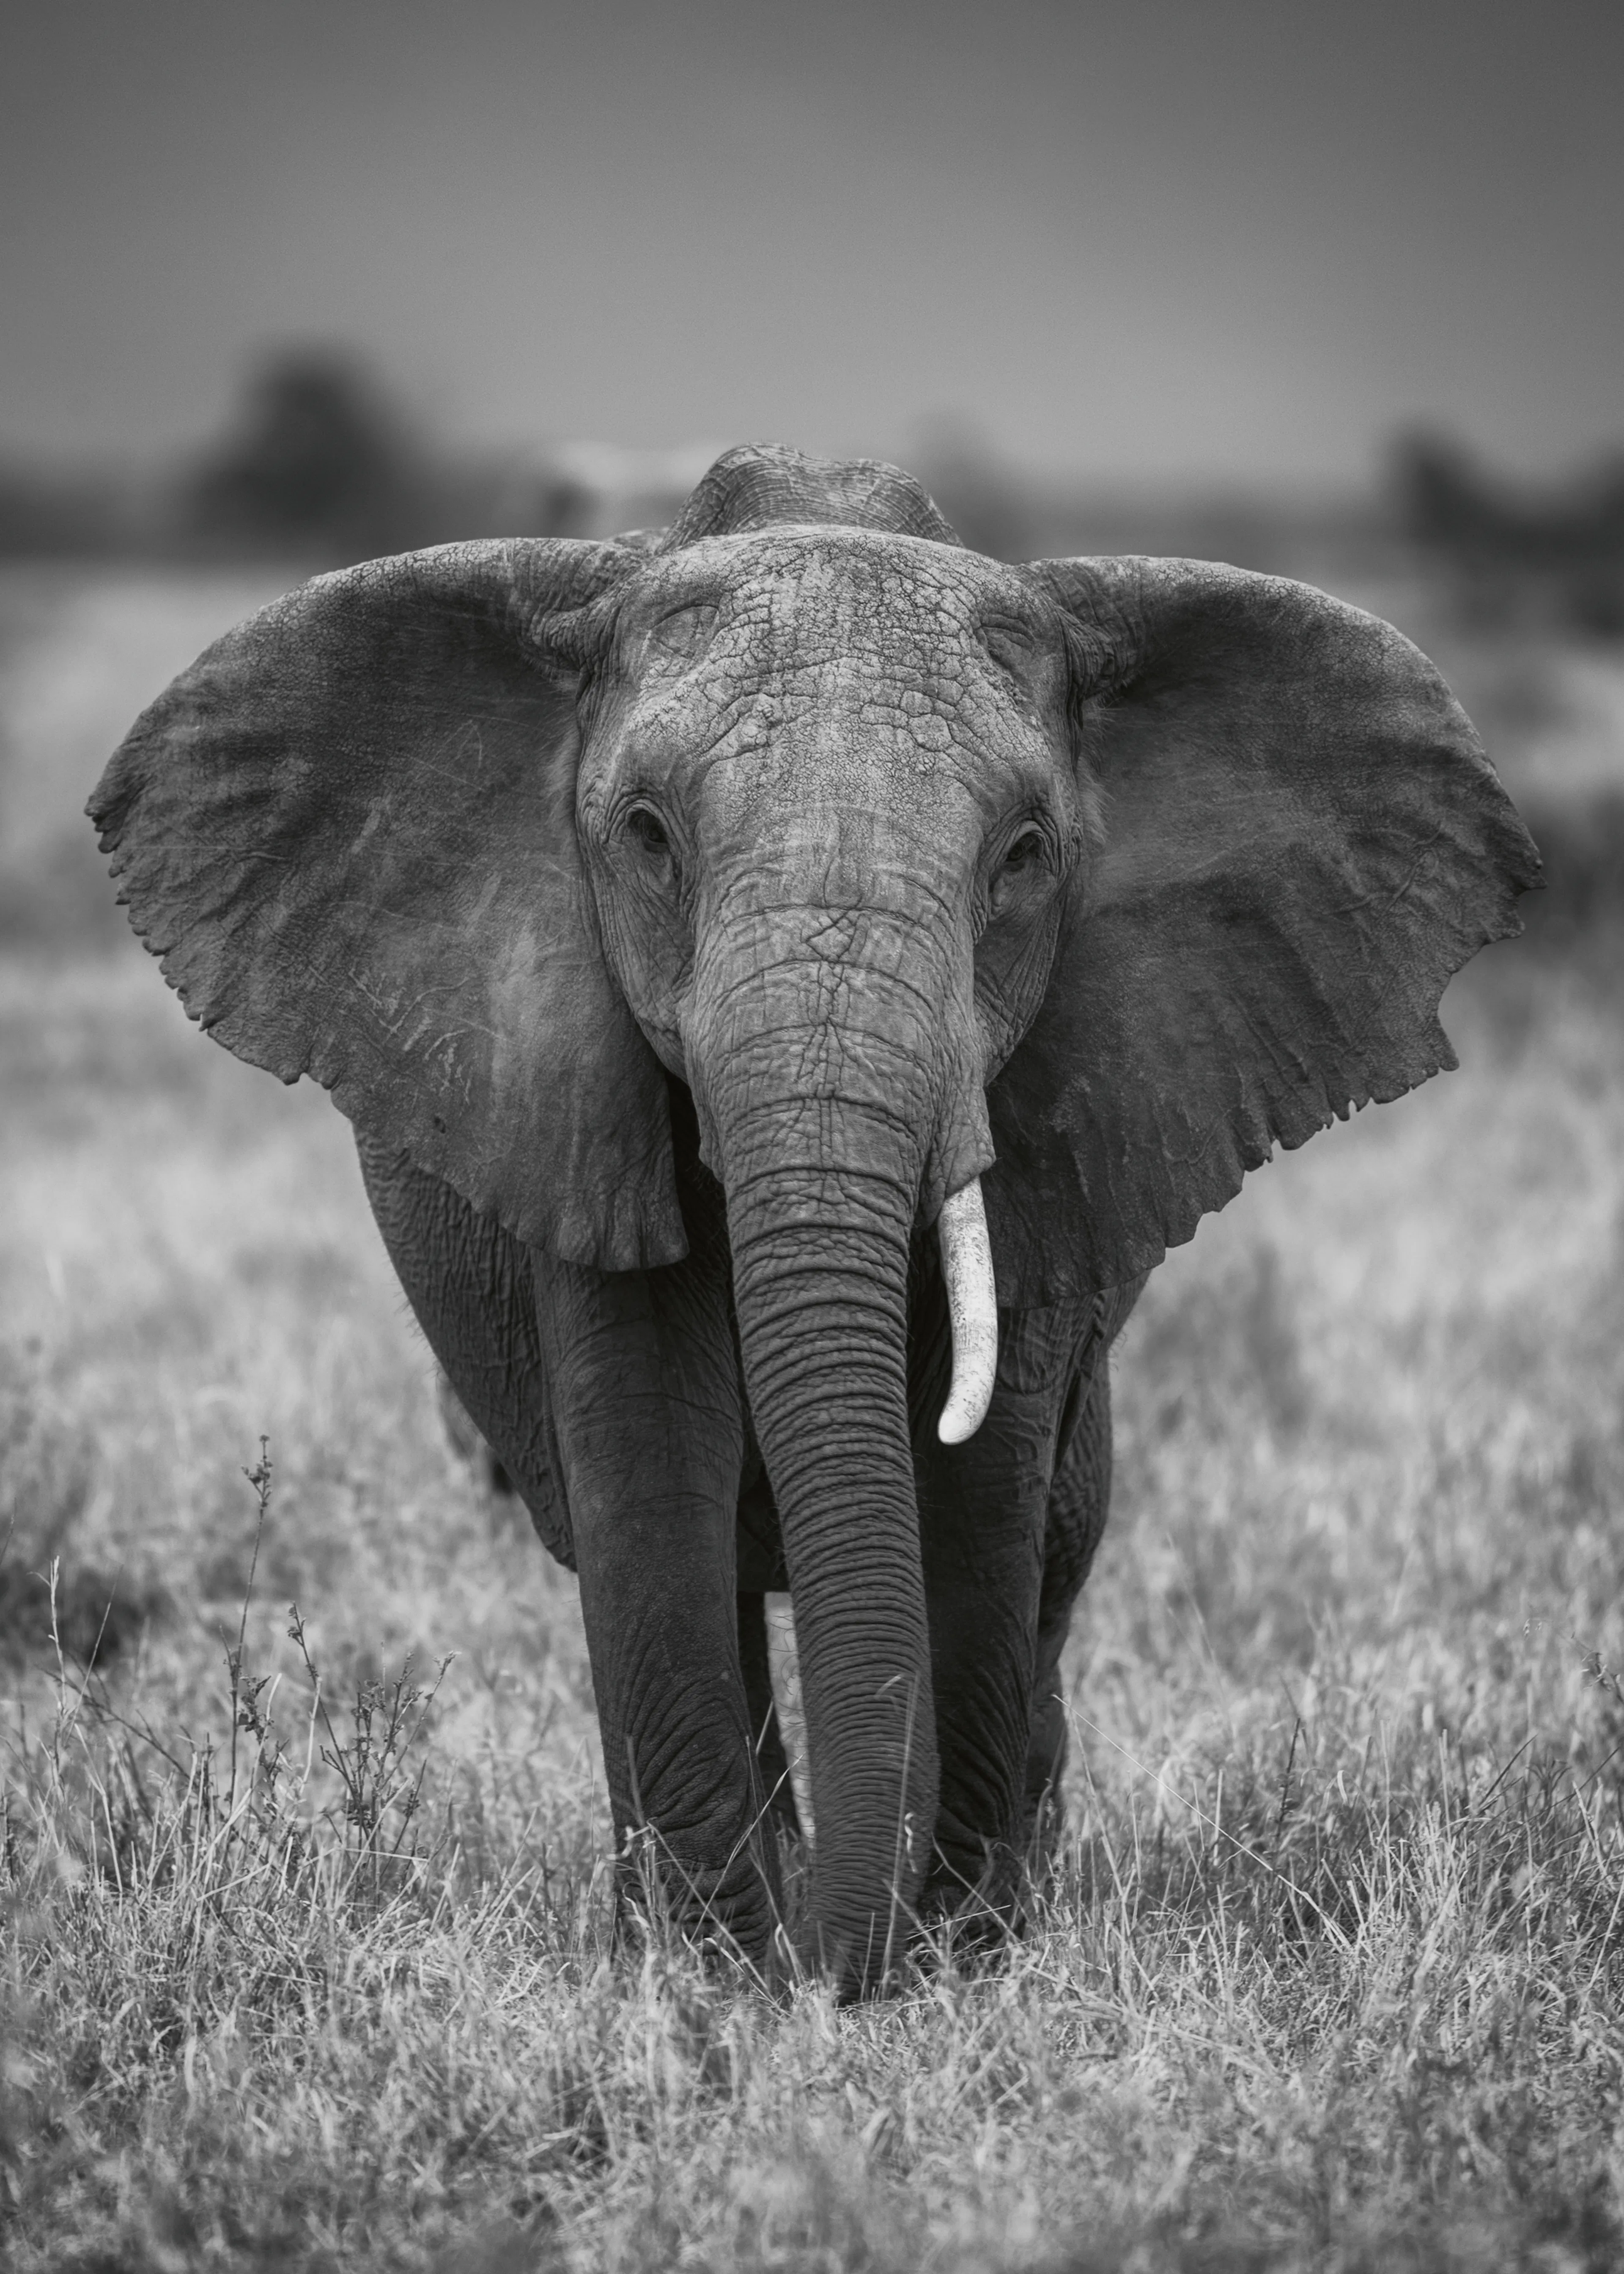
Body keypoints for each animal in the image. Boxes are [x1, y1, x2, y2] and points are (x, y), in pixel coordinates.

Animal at [88, 442, 1539, 1997]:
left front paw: (950, 1957)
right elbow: (651, 1469)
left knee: (1054, 1552)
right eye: (647, 839)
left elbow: (978, 1494)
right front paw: (713, 1977)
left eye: (1025, 855)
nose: (843, 1965)